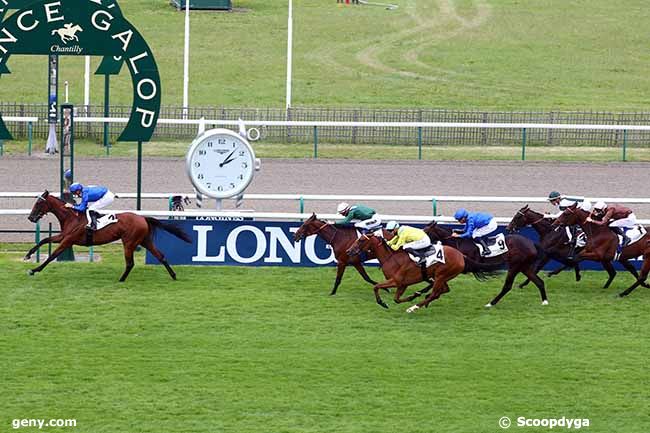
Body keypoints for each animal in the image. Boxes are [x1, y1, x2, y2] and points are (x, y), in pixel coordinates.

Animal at [26, 190, 189, 280]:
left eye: (38, 204)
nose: (30, 217)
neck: (72, 217)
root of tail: (142, 218)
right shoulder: (63, 236)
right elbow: (45, 240)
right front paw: (28, 255)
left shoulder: (68, 240)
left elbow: (52, 255)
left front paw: (34, 270)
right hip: (144, 241)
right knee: (161, 256)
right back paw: (173, 275)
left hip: (129, 242)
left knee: (130, 263)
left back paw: (121, 279)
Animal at [344, 231, 502, 308]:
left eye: (361, 240)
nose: (348, 251)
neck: (391, 257)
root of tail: (461, 256)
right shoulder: (403, 284)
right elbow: (396, 299)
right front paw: (413, 295)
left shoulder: (397, 281)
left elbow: (376, 287)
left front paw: (382, 303)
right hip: (442, 277)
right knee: (442, 291)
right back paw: (423, 299)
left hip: (441, 275)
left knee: (436, 293)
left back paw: (415, 307)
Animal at [420, 219, 548, 308]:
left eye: (426, 231)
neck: (459, 243)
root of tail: (531, 243)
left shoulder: (463, 268)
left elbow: (436, 281)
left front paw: (423, 294)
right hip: (524, 267)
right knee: (539, 282)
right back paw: (545, 301)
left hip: (515, 266)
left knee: (507, 286)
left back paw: (491, 303)